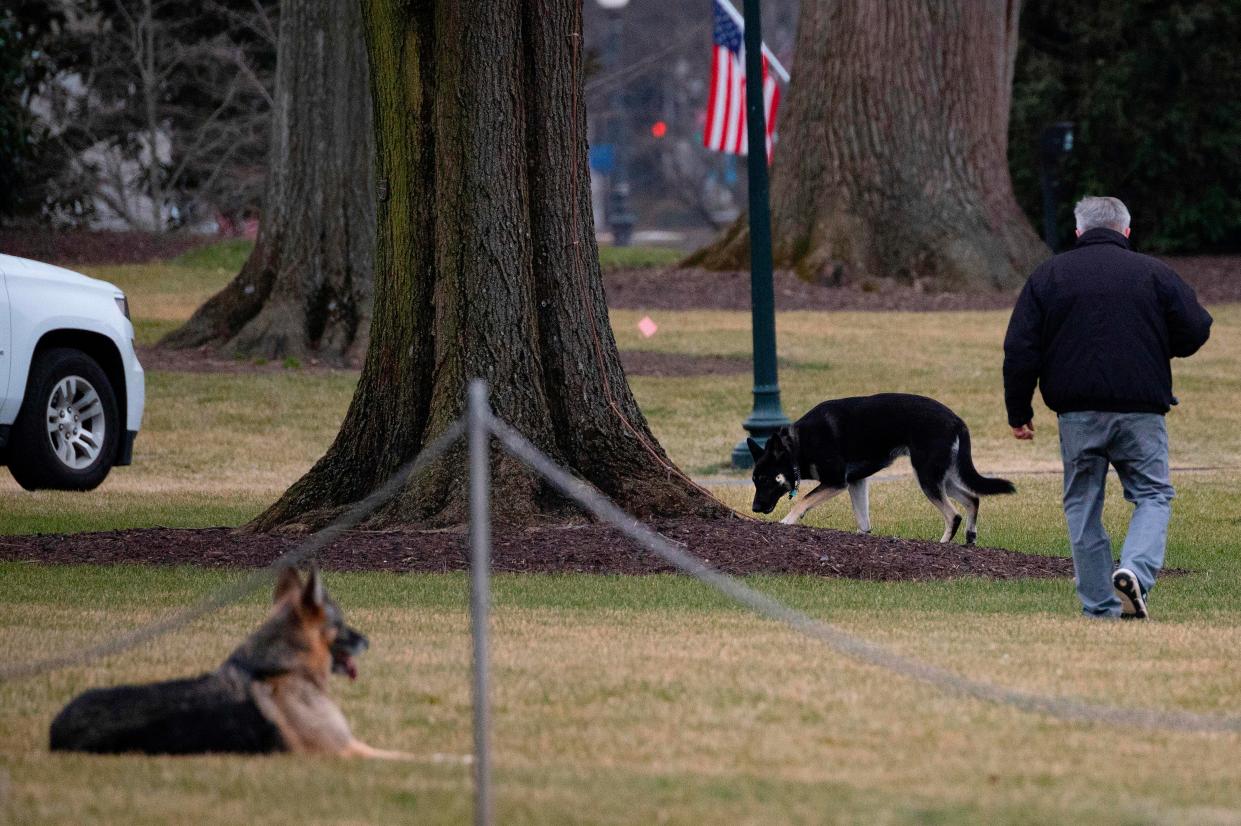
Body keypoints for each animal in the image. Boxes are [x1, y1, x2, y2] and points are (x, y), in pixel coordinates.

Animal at [749, 391, 1012, 540]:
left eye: (764, 479)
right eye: (754, 480)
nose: (754, 508)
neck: (797, 446)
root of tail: (957, 421)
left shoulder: (836, 481)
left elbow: (803, 500)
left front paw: (787, 522)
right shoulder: (856, 482)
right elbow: (862, 518)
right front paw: (863, 535)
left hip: (927, 476)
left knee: (953, 514)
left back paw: (944, 542)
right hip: (941, 477)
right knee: (973, 499)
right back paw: (970, 536)